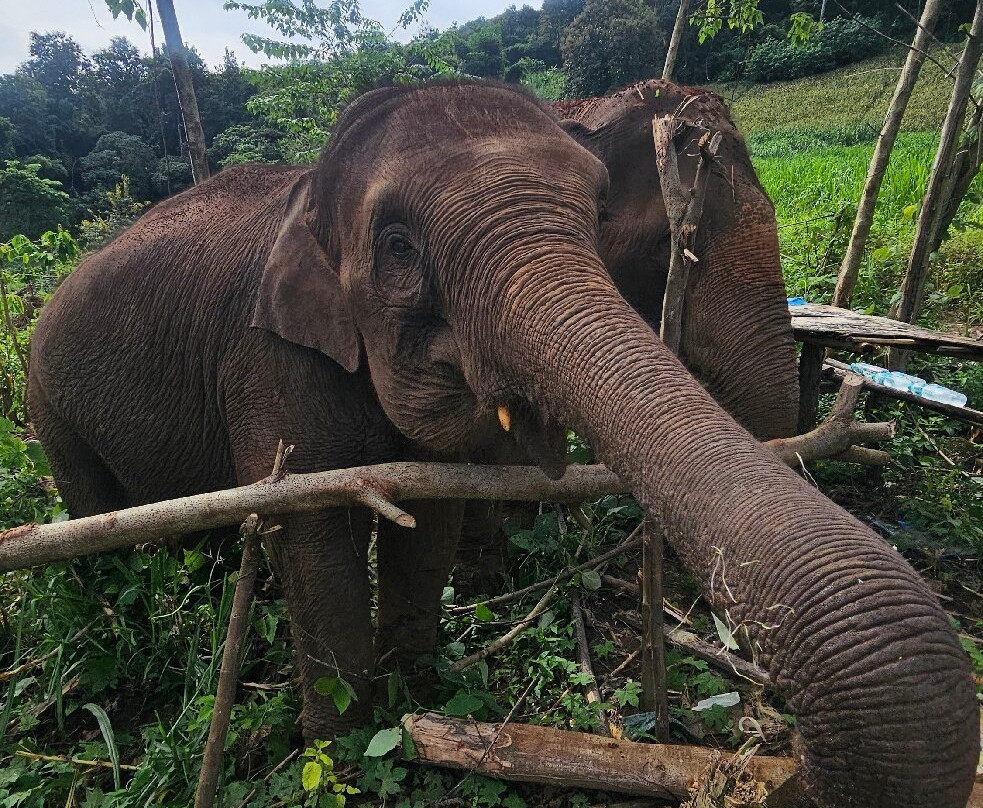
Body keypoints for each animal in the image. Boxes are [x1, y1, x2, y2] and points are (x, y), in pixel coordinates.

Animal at [26, 82, 976, 808]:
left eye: (598, 213)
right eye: (399, 249)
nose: (777, 769)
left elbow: (435, 502)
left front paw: (418, 699)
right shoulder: (268, 360)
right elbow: (315, 533)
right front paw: (340, 758)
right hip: (51, 412)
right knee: (109, 540)